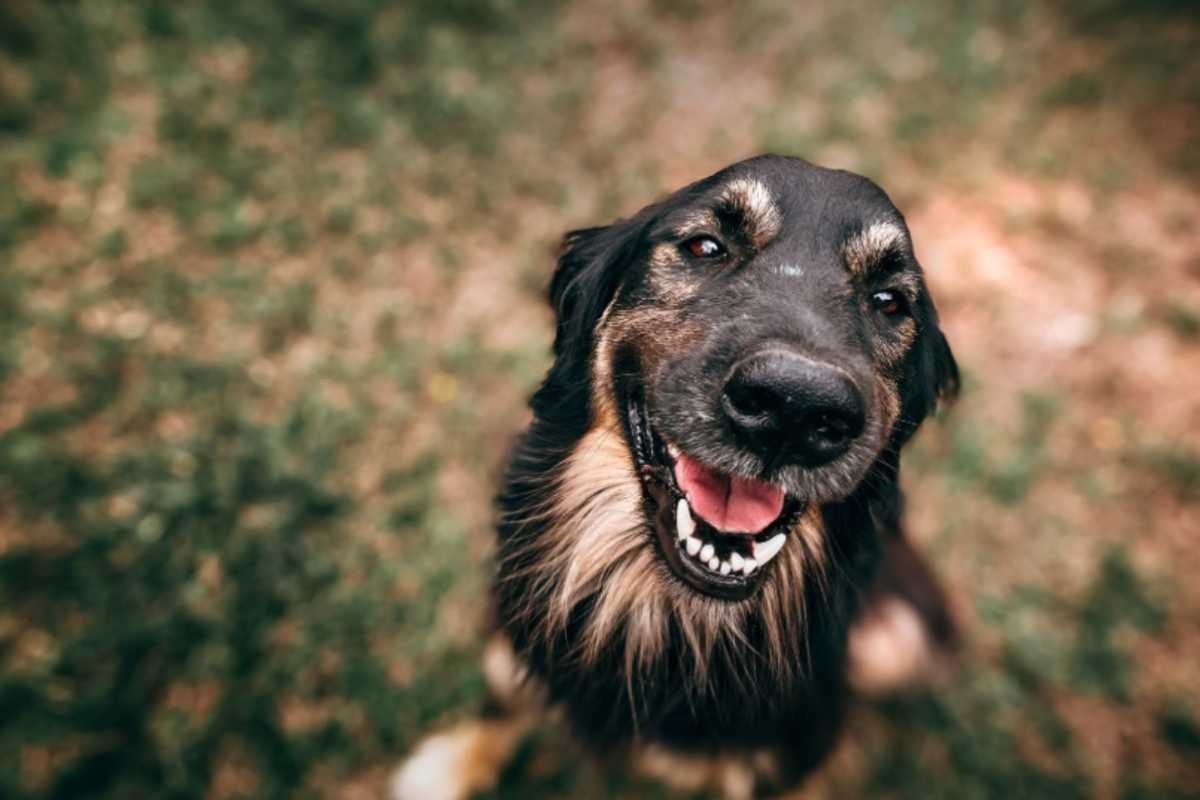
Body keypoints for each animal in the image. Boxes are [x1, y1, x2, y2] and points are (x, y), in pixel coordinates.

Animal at [398, 155, 960, 800]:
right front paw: (456, 763)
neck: (667, 614)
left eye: (889, 301)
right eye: (706, 246)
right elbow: (503, 693)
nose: (793, 409)